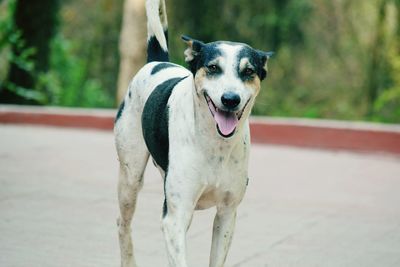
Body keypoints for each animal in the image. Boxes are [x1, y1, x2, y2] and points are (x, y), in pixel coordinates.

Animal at [114, 1, 274, 266]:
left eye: (248, 71)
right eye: (213, 67)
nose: (231, 99)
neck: (215, 143)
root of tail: (157, 62)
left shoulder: (227, 214)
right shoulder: (175, 218)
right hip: (130, 178)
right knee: (122, 223)